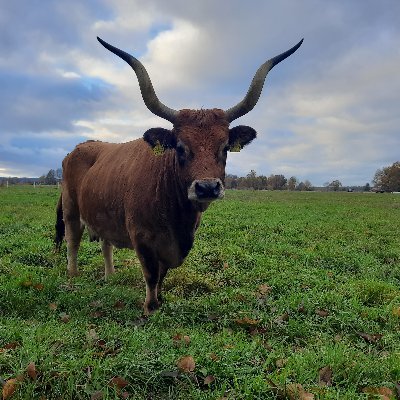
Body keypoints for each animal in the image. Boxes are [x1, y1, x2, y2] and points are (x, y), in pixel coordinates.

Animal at [54, 36, 302, 314]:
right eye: (181, 147)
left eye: (225, 147)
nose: (207, 188)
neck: (175, 215)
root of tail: (80, 147)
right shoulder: (142, 239)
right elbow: (151, 274)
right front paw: (150, 307)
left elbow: (162, 275)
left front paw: (160, 300)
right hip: (71, 208)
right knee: (72, 241)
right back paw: (73, 276)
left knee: (105, 244)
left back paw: (110, 277)